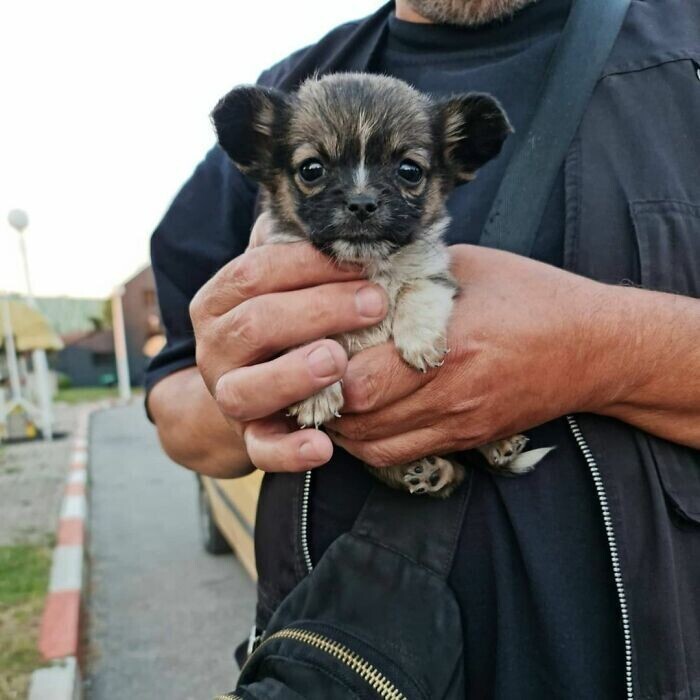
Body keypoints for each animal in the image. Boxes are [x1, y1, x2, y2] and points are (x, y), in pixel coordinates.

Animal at [211, 72, 548, 498]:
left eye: (409, 171)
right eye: (311, 169)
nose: (361, 202)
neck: (368, 265)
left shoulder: (435, 273)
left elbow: (418, 292)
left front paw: (420, 342)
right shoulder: (286, 300)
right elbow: (307, 339)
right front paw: (316, 395)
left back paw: (499, 444)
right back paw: (431, 472)